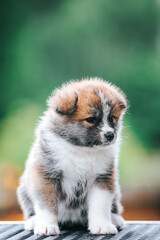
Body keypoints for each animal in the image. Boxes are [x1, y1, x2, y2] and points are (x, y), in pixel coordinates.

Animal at [17, 78, 127, 235]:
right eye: (91, 119)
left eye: (113, 118)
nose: (110, 135)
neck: (81, 149)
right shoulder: (46, 175)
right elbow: (47, 205)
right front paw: (46, 226)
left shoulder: (103, 178)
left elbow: (100, 205)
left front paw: (102, 225)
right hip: (24, 189)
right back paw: (33, 221)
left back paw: (115, 218)